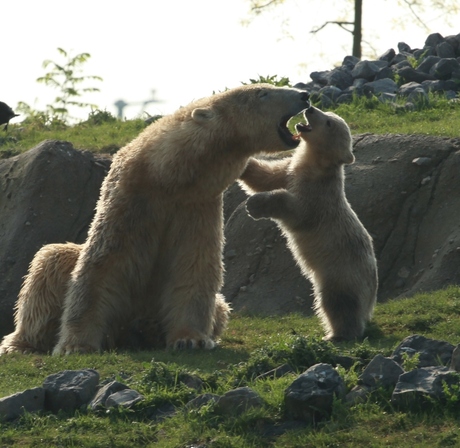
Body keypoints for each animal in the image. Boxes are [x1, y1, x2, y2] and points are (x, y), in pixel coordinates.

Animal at [0, 83, 310, 354]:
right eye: (263, 93)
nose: (304, 95)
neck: (167, 177)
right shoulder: (131, 205)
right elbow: (100, 268)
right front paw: (76, 345)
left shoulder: (196, 207)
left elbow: (193, 266)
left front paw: (191, 339)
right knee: (49, 263)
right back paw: (20, 344)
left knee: (220, 307)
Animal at [241, 107, 378, 340]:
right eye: (327, 112)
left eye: (329, 122)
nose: (310, 108)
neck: (315, 166)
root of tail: (372, 297)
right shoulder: (290, 170)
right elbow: (266, 176)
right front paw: (244, 164)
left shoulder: (318, 195)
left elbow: (297, 211)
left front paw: (255, 204)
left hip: (342, 274)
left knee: (338, 302)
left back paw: (337, 335)